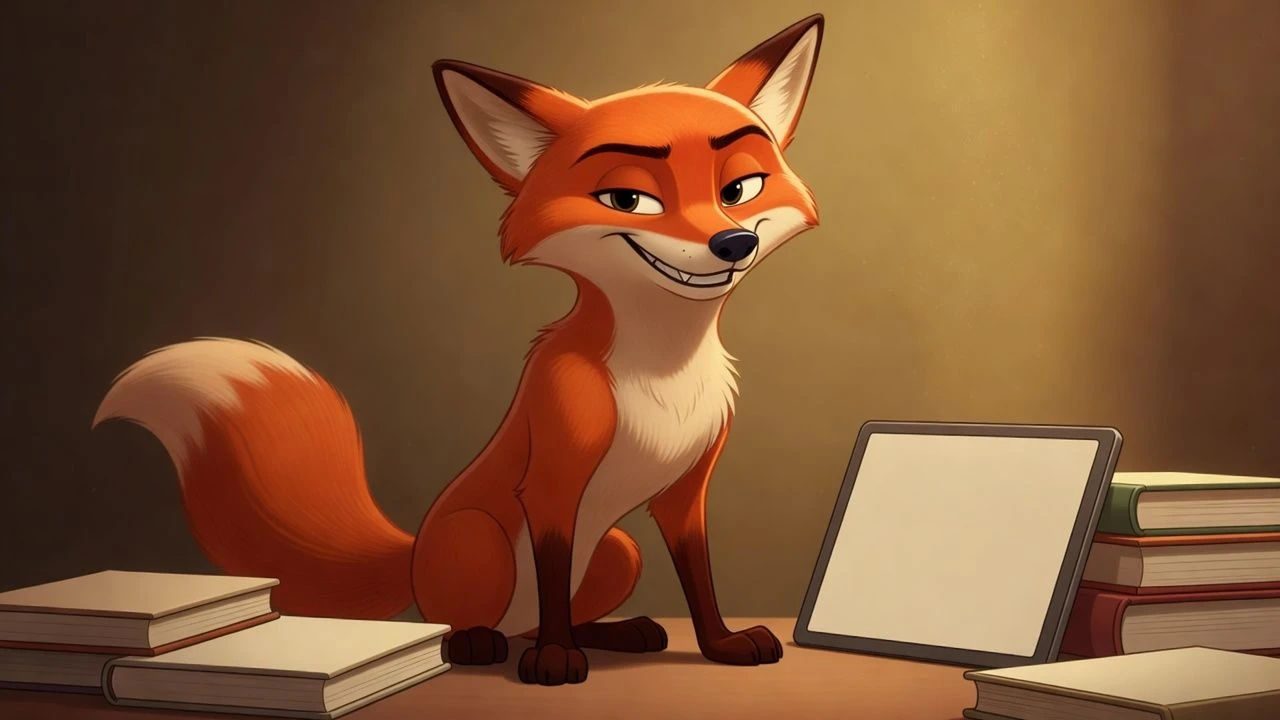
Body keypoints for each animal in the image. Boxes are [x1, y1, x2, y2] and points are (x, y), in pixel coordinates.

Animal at [93, 15, 823, 686]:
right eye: (629, 198)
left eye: (739, 190)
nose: (733, 243)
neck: (664, 372)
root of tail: (413, 553)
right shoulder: (552, 479)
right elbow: (554, 574)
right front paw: (554, 661)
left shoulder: (685, 491)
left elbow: (698, 581)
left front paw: (720, 645)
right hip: (482, 540)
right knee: (465, 620)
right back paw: (481, 643)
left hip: (618, 552)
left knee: (554, 608)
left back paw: (615, 631)